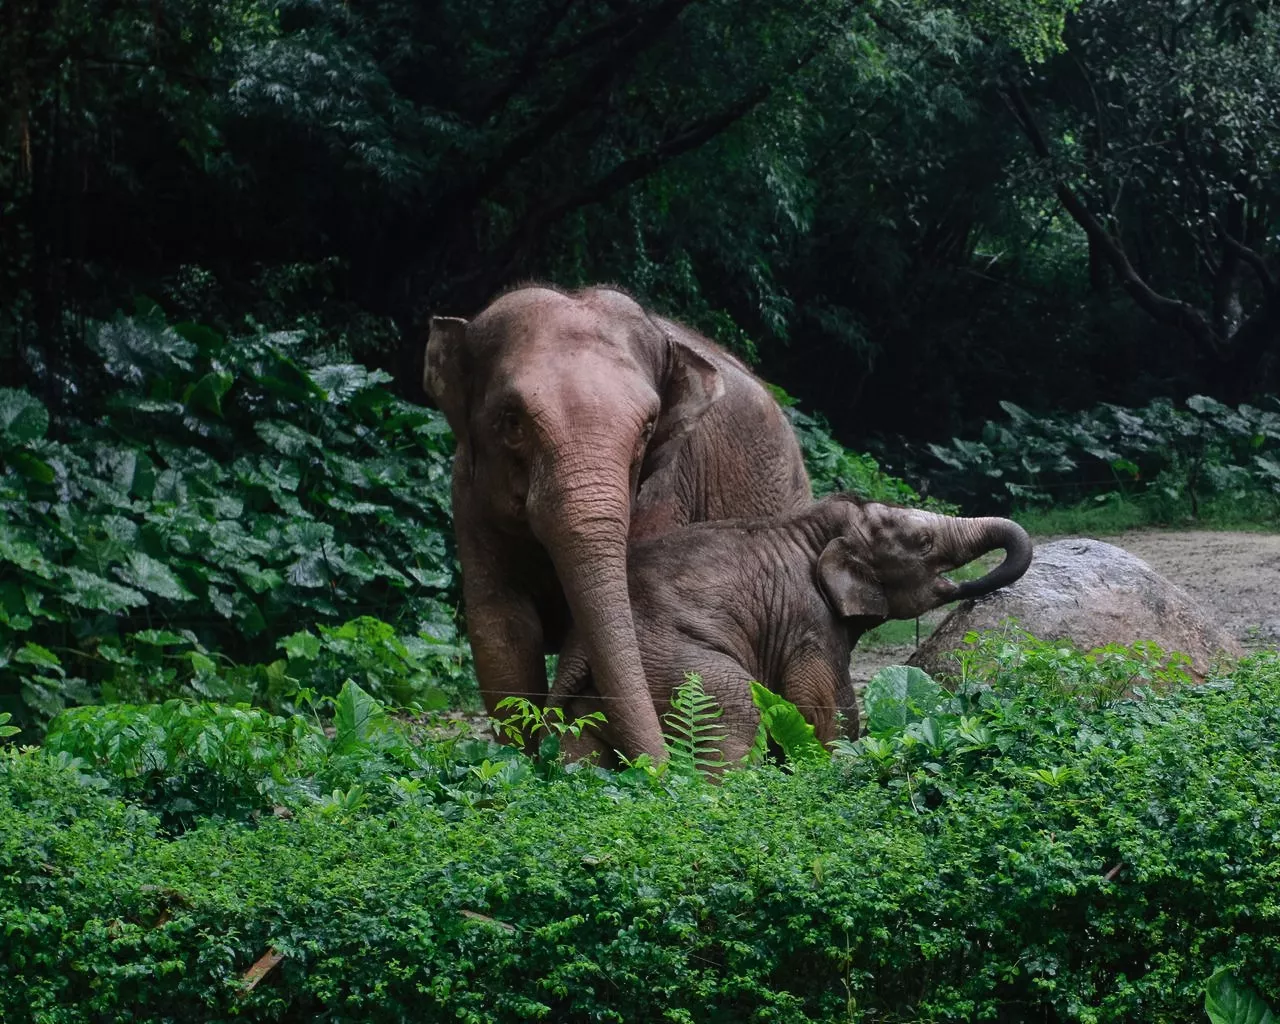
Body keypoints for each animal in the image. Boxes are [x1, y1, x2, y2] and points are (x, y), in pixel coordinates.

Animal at [423, 284, 811, 759]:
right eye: (512, 422)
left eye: (647, 429)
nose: (662, 769)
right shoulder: (469, 496)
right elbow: (502, 628)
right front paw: (521, 761)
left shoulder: (667, 486)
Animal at [546, 495, 1033, 765]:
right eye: (924, 544)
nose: (973, 590)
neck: (812, 527)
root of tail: (577, 650)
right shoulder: (807, 620)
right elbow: (824, 708)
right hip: (674, 665)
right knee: (737, 713)